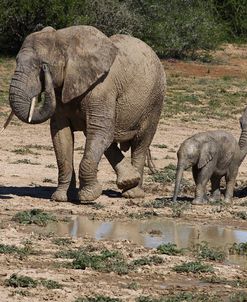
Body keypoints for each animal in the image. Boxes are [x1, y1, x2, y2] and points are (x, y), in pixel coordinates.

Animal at [9, 25, 166, 201]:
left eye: (42, 65)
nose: (45, 74)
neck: (64, 39)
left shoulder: (102, 88)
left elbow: (100, 131)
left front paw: (87, 197)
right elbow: (61, 135)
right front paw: (60, 197)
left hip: (155, 101)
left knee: (140, 141)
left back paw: (133, 193)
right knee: (106, 139)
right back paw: (129, 180)